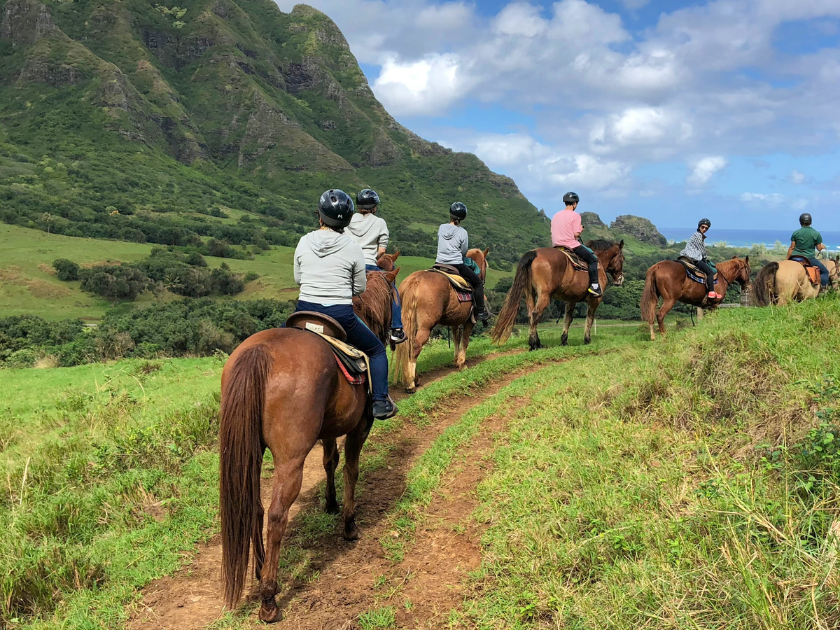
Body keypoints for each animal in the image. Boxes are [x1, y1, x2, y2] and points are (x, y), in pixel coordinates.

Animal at [220, 266, 398, 624]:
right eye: (393, 291)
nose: (396, 333)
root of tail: (260, 352)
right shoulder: (360, 426)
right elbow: (351, 469)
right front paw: (349, 524)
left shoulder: (329, 428)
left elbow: (330, 461)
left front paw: (330, 504)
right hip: (290, 458)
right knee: (276, 515)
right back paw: (269, 598)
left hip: (251, 454)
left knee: (255, 507)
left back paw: (261, 570)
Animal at [396, 248, 488, 392]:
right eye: (486, 264)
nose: (483, 280)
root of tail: (415, 281)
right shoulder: (469, 321)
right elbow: (465, 340)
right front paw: (462, 363)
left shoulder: (455, 322)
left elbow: (456, 339)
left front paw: (456, 360)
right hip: (425, 327)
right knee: (416, 346)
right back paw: (411, 382)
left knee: (409, 345)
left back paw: (415, 378)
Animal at [492, 241, 624, 350]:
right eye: (623, 258)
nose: (620, 279)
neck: (599, 263)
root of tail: (534, 253)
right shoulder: (595, 301)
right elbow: (589, 319)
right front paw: (587, 340)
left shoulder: (571, 300)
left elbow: (568, 319)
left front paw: (564, 341)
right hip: (544, 296)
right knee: (535, 314)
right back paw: (534, 344)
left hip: (530, 294)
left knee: (530, 315)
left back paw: (538, 342)